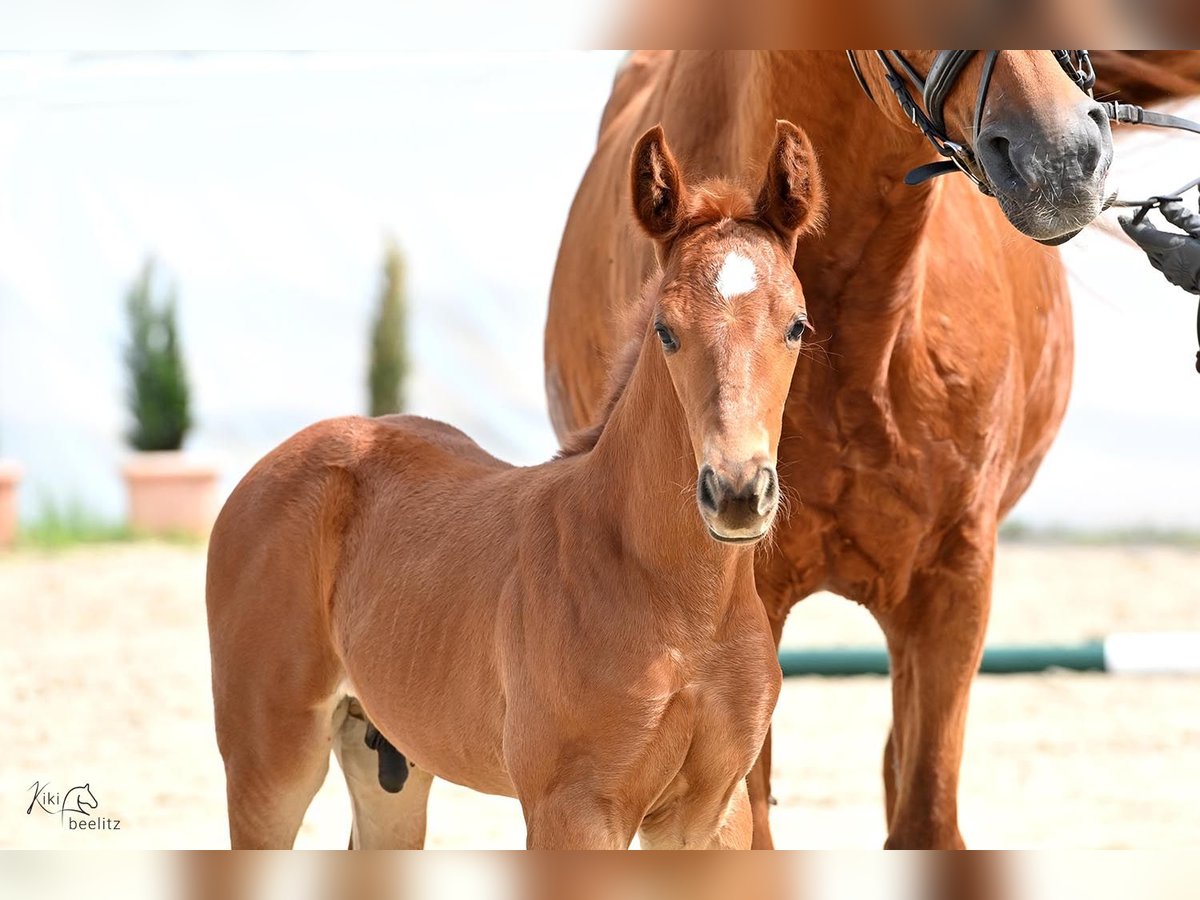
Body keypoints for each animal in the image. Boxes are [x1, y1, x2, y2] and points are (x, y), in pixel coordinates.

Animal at [206, 120, 825, 854]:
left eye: (796, 326)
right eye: (665, 330)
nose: (735, 492)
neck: (682, 606)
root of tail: (264, 473)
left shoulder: (714, 816)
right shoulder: (573, 810)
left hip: (385, 760)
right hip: (270, 760)